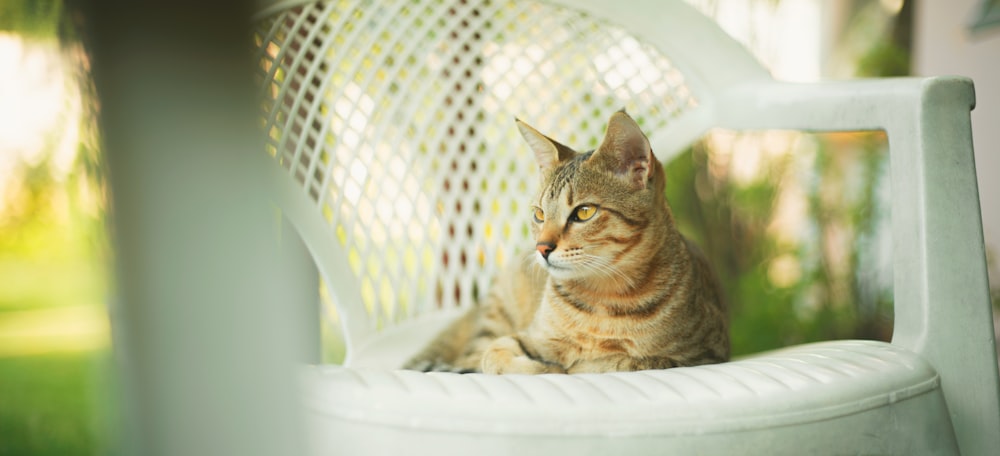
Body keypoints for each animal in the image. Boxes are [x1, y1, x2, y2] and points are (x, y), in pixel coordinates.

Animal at [404, 110, 728, 374]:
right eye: (539, 214)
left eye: (584, 212)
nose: (542, 248)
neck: (603, 299)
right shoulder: (528, 336)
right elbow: (496, 353)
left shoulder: (703, 353)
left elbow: (619, 362)